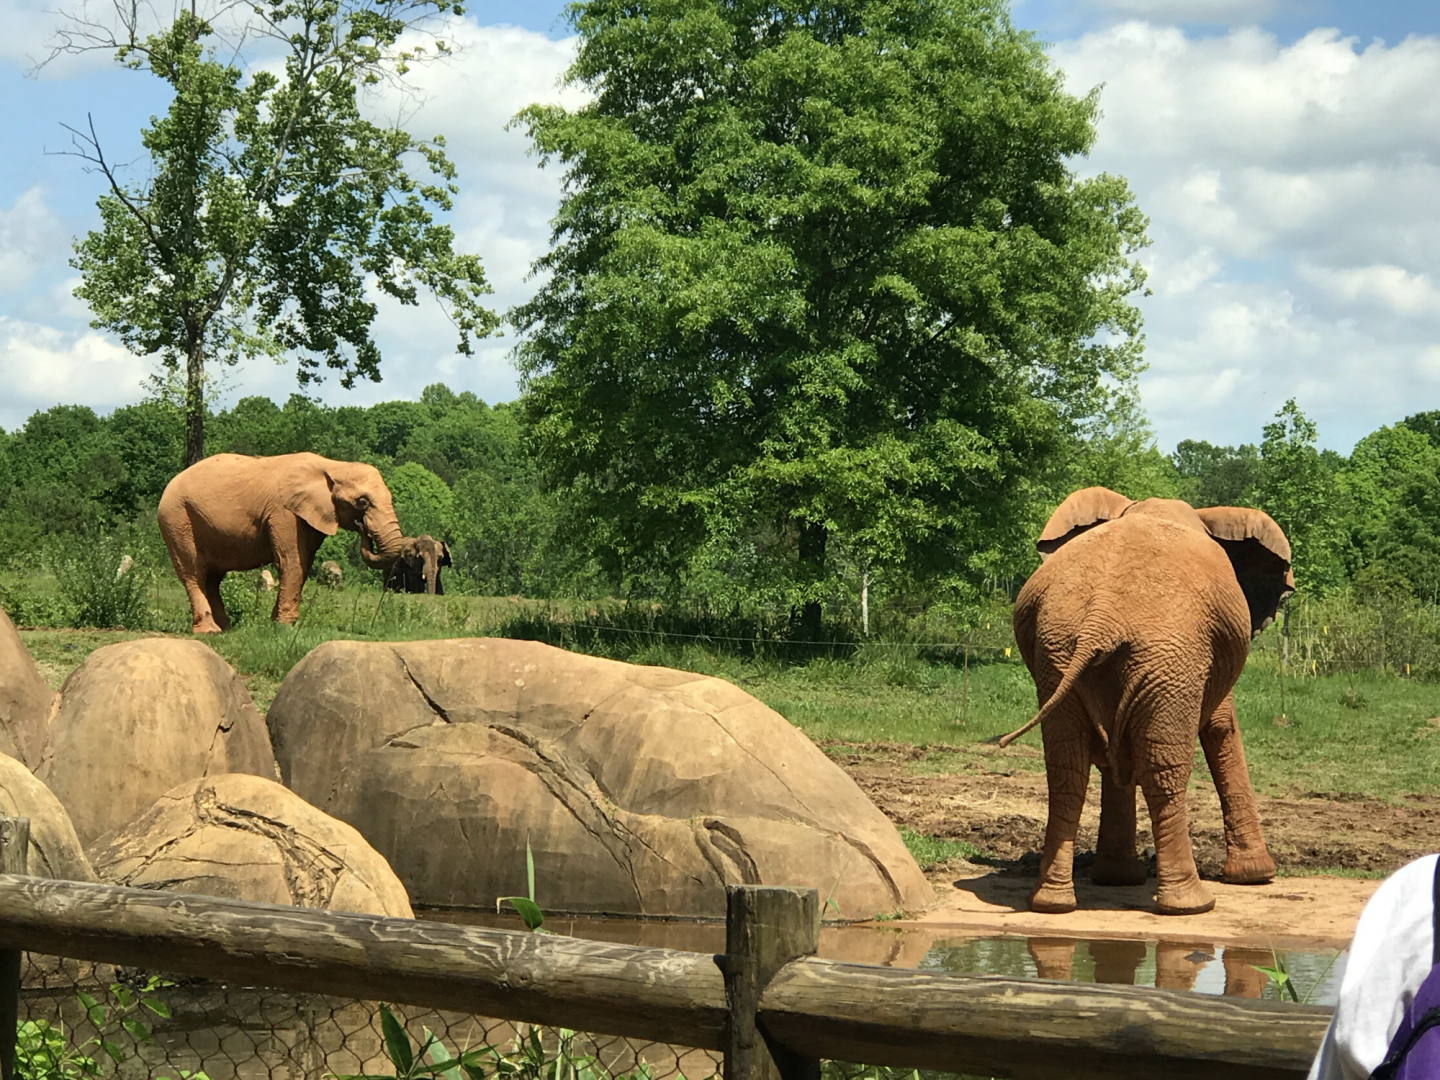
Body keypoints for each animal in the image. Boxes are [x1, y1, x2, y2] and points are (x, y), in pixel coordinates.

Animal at [158, 453, 406, 633]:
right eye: (362, 502)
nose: (362, 527)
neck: (333, 465)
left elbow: (303, 564)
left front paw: (275, 623)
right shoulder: (284, 513)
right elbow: (292, 562)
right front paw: (285, 627)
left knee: (212, 579)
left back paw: (226, 629)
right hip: (177, 520)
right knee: (194, 573)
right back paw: (210, 631)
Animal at [1004, 487, 1293, 916]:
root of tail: (1100, 619)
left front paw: (1117, 878)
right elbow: (1222, 728)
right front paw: (1257, 875)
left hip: (1058, 651)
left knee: (1067, 769)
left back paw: (1052, 902)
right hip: (1171, 656)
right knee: (1164, 770)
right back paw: (1191, 905)